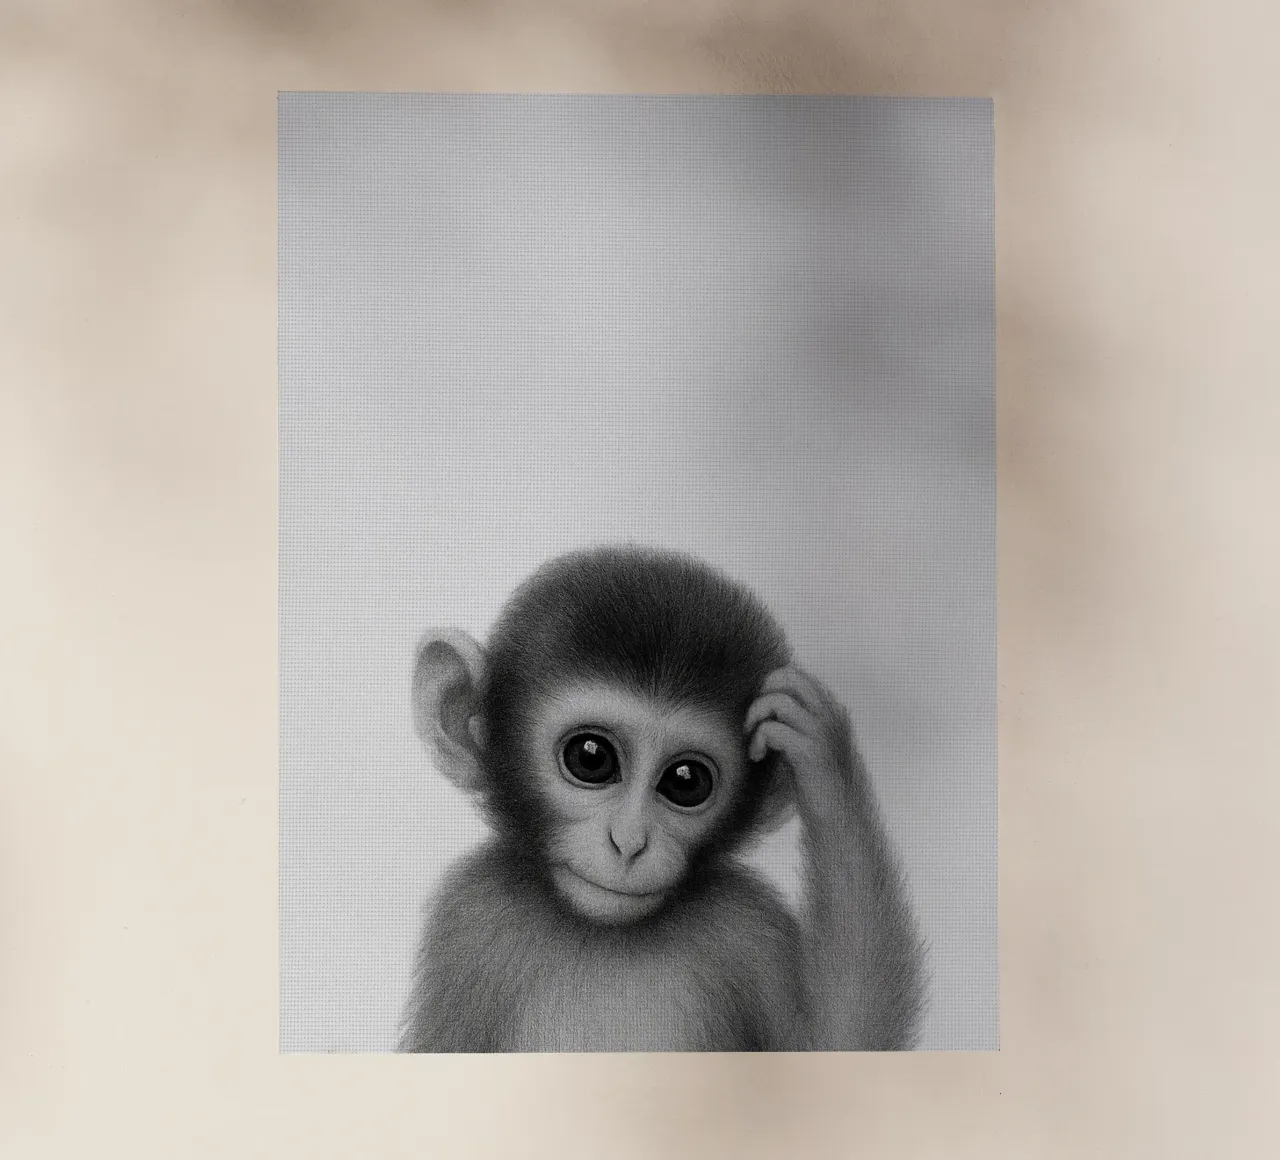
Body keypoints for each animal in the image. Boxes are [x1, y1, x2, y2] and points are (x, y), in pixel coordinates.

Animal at [398, 545, 925, 1052]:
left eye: (685, 781)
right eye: (590, 758)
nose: (629, 842)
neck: (605, 935)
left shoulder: (749, 922)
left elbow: (837, 1042)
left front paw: (822, 754)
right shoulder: (470, 918)